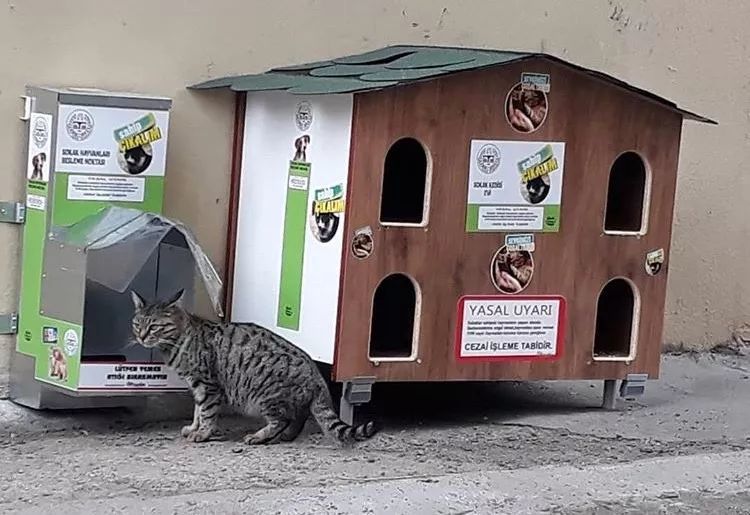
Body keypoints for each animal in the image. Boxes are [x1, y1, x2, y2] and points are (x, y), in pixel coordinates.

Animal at [130, 292, 378, 446]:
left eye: (154, 326)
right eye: (137, 324)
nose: (141, 336)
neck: (179, 340)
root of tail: (316, 374)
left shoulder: (207, 385)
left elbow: (206, 412)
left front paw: (202, 433)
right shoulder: (196, 386)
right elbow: (197, 411)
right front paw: (193, 428)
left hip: (265, 396)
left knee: (281, 420)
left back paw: (258, 437)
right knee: (299, 416)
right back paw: (287, 436)